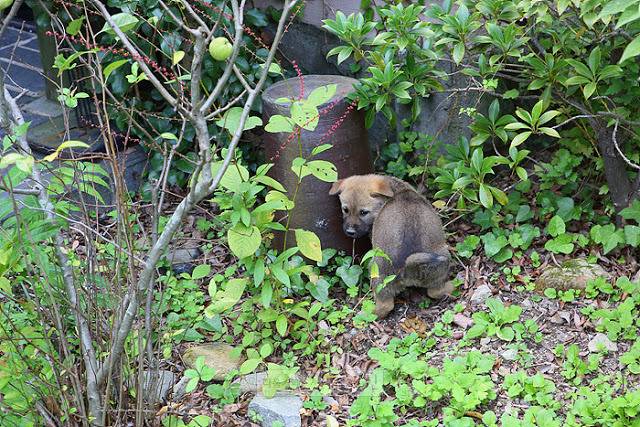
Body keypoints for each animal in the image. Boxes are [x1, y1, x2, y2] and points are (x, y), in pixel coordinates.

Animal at [330, 176, 450, 320]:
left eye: (363, 212)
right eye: (345, 210)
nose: (350, 232)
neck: (398, 191)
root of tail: (407, 269)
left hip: (376, 269)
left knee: (385, 306)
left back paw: (366, 313)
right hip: (441, 261)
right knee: (436, 292)